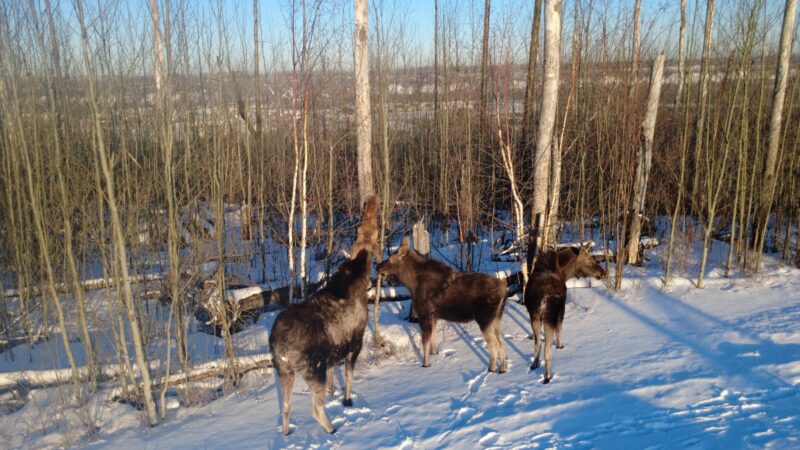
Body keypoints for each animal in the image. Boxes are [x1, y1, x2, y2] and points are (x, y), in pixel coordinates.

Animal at [269, 196, 379, 435]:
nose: (371, 200)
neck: (359, 273)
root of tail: (280, 345)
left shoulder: (334, 351)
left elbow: (332, 373)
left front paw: (332, 391)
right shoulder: (355, 342)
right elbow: (348, 375)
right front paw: (347, 400)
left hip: (284, 370)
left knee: (286, 406)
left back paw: (287, 431)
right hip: (312, 369)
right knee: (315, 408)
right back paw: (331, 429)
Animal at [377, 237, 508, 373]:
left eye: (391, 258)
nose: (377, 267)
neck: (411, 283)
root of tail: (504, 290)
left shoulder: (424, 315)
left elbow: (425, 342)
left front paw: (425, 364)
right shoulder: (434, 317)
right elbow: (433, 338)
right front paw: (435, 354)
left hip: (484, 318)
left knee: (494, 344)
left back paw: (491, 368)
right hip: (497, 318)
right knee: (501, 342)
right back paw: (503, 369)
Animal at [524, 244, 605, 384]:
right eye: (589, 260)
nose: (602, 272)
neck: (565, 272)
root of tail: (542, 298)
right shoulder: (561, 310)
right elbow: (560, 331)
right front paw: (561, 347)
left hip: (534, 316)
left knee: (537, 342)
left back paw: (535, 364)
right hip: (549, 317)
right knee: (547, 348)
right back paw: (547, 377)